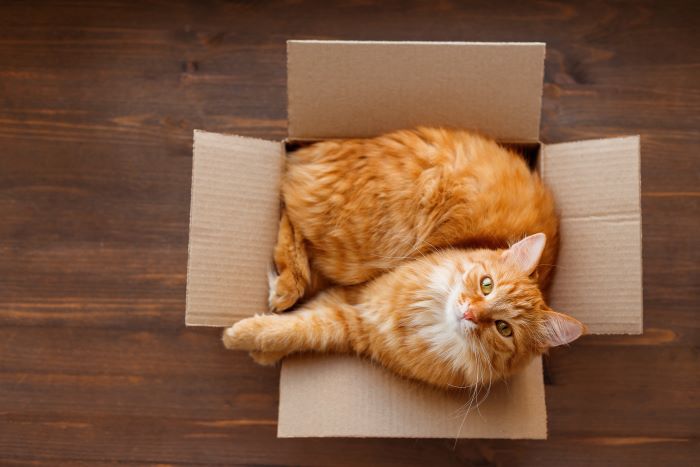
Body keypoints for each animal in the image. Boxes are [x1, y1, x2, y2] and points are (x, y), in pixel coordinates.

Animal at [226, 234, 584, 392]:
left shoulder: (351, 326)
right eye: (487, 285)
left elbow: (301, 329)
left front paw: (246, 340)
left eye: (503, 328)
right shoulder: (356, 297)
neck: (431, 320)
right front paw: (252, 339)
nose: (470, 313)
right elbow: (299, 320)